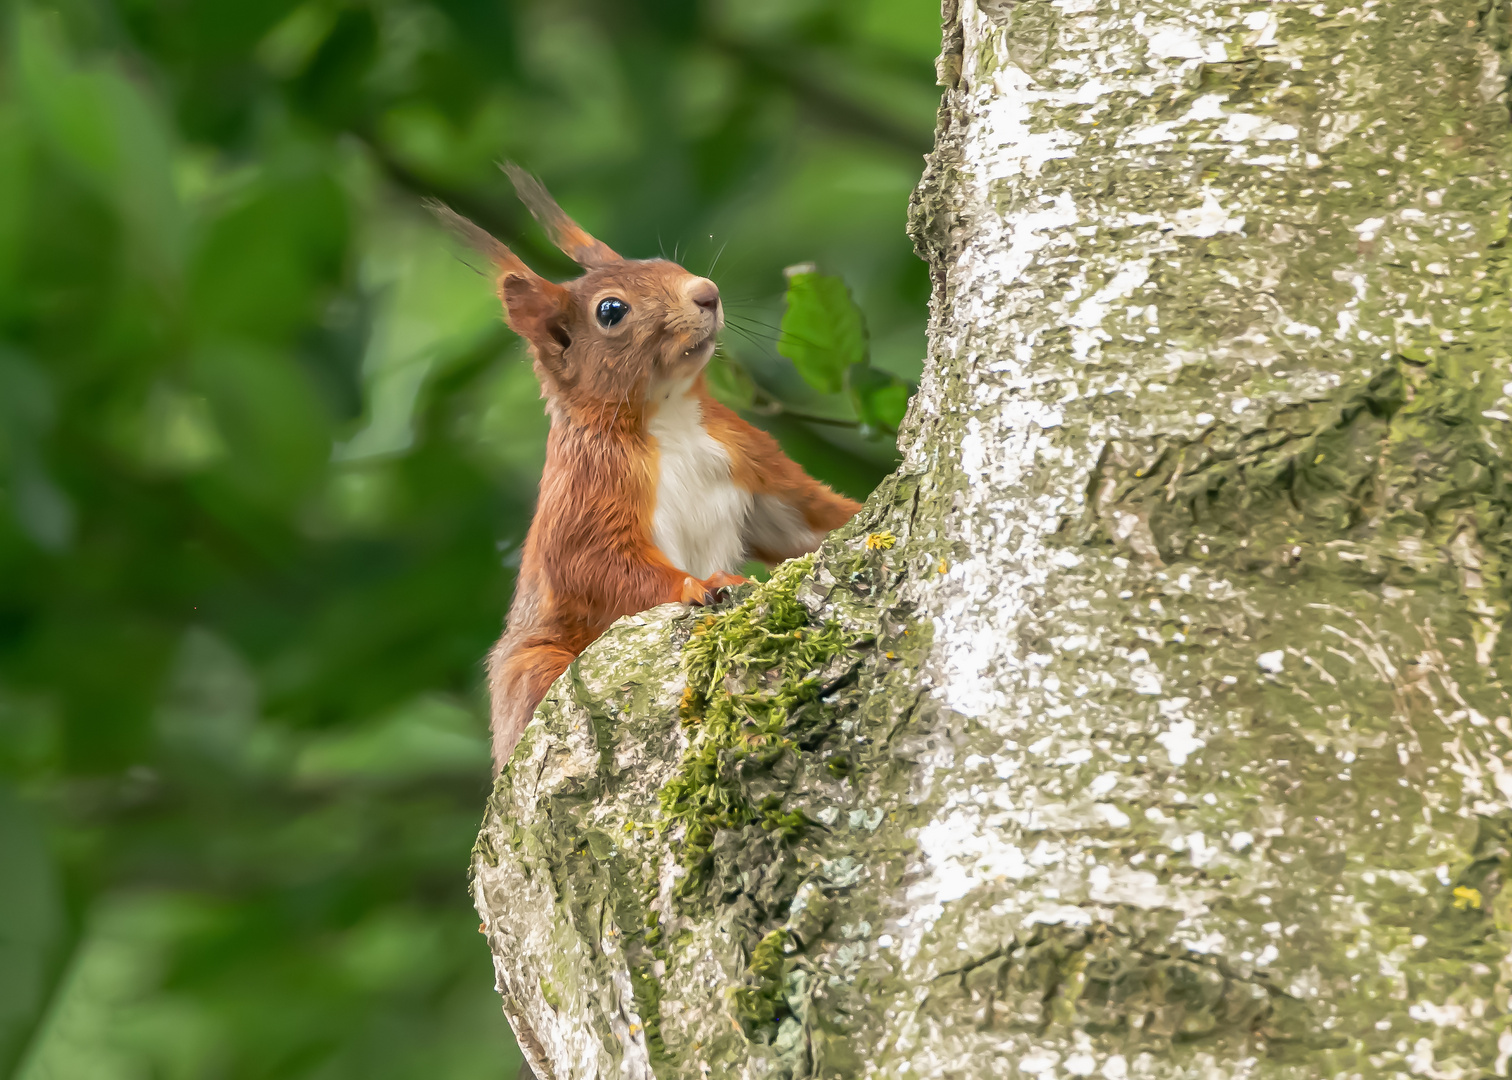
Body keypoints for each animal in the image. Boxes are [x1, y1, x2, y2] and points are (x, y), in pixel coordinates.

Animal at [438, 167, 864, 768]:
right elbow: (601, 567)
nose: (707, 293)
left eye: (664, 262)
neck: (673, 417)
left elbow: (806, 521)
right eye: (611, 311)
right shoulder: (588, 493)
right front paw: (702, 584)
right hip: (537, 665)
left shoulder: (750, 458)